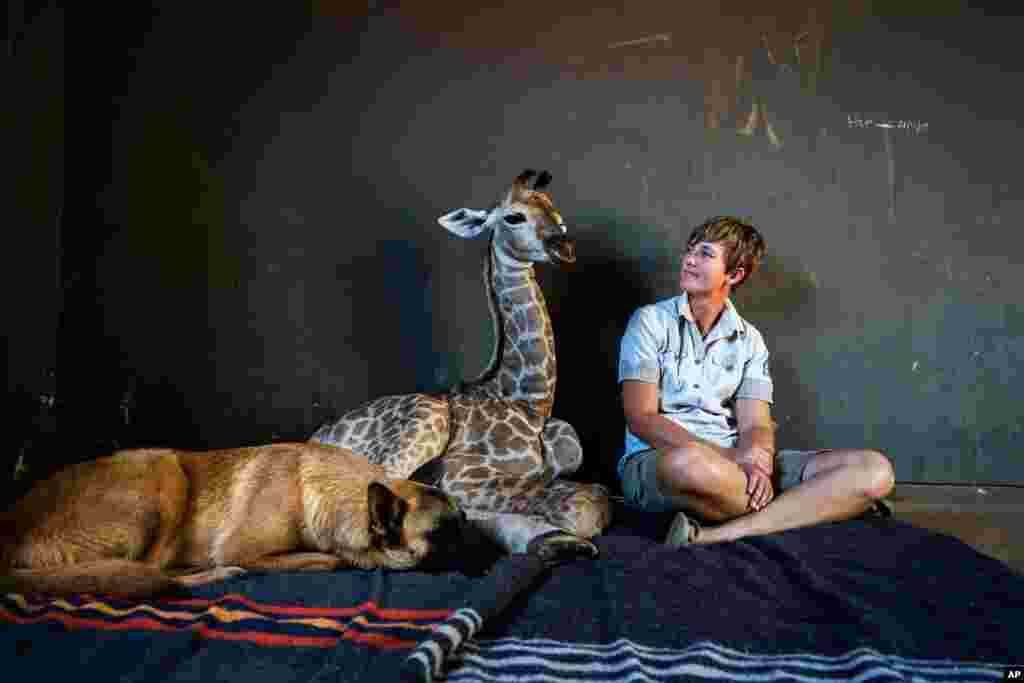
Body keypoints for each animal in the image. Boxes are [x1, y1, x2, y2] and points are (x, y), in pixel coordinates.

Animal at [311, 170, 612, 562]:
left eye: (555, 211)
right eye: (513, 217)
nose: (564, 246)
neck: (530, 402)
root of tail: (316, 437)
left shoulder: (567, 448)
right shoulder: (460, 471)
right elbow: (586, 503)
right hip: (428, 416)